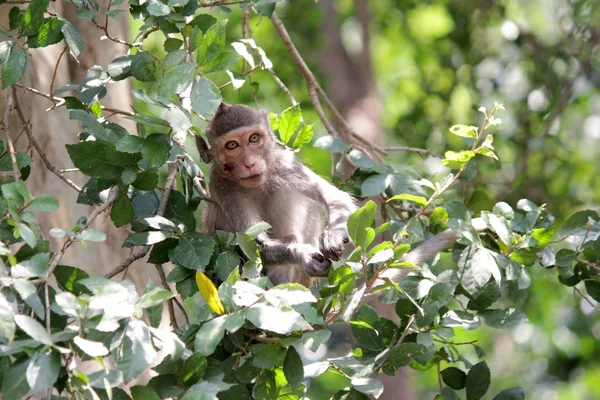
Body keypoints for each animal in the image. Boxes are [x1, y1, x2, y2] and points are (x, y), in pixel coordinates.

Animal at [196, 101, 356, 286]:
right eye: (232, 145)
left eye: (254, 138)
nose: (250, 163)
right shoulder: (223, 189)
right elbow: (255, 245)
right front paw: (303, 255)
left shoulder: (284, 162)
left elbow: (335, 198)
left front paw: (333, 236)